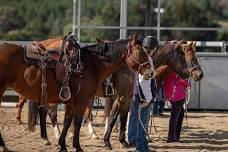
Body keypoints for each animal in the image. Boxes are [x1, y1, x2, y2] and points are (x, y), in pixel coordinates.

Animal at [0, 33, 155, 152]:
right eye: (142, 52)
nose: (151, 72)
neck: (91, 65)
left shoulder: (72, 102)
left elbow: (68, 121)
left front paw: (62, 144)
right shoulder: (92, 100)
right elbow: (85, 120)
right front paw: (80, 146)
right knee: (49, 113)